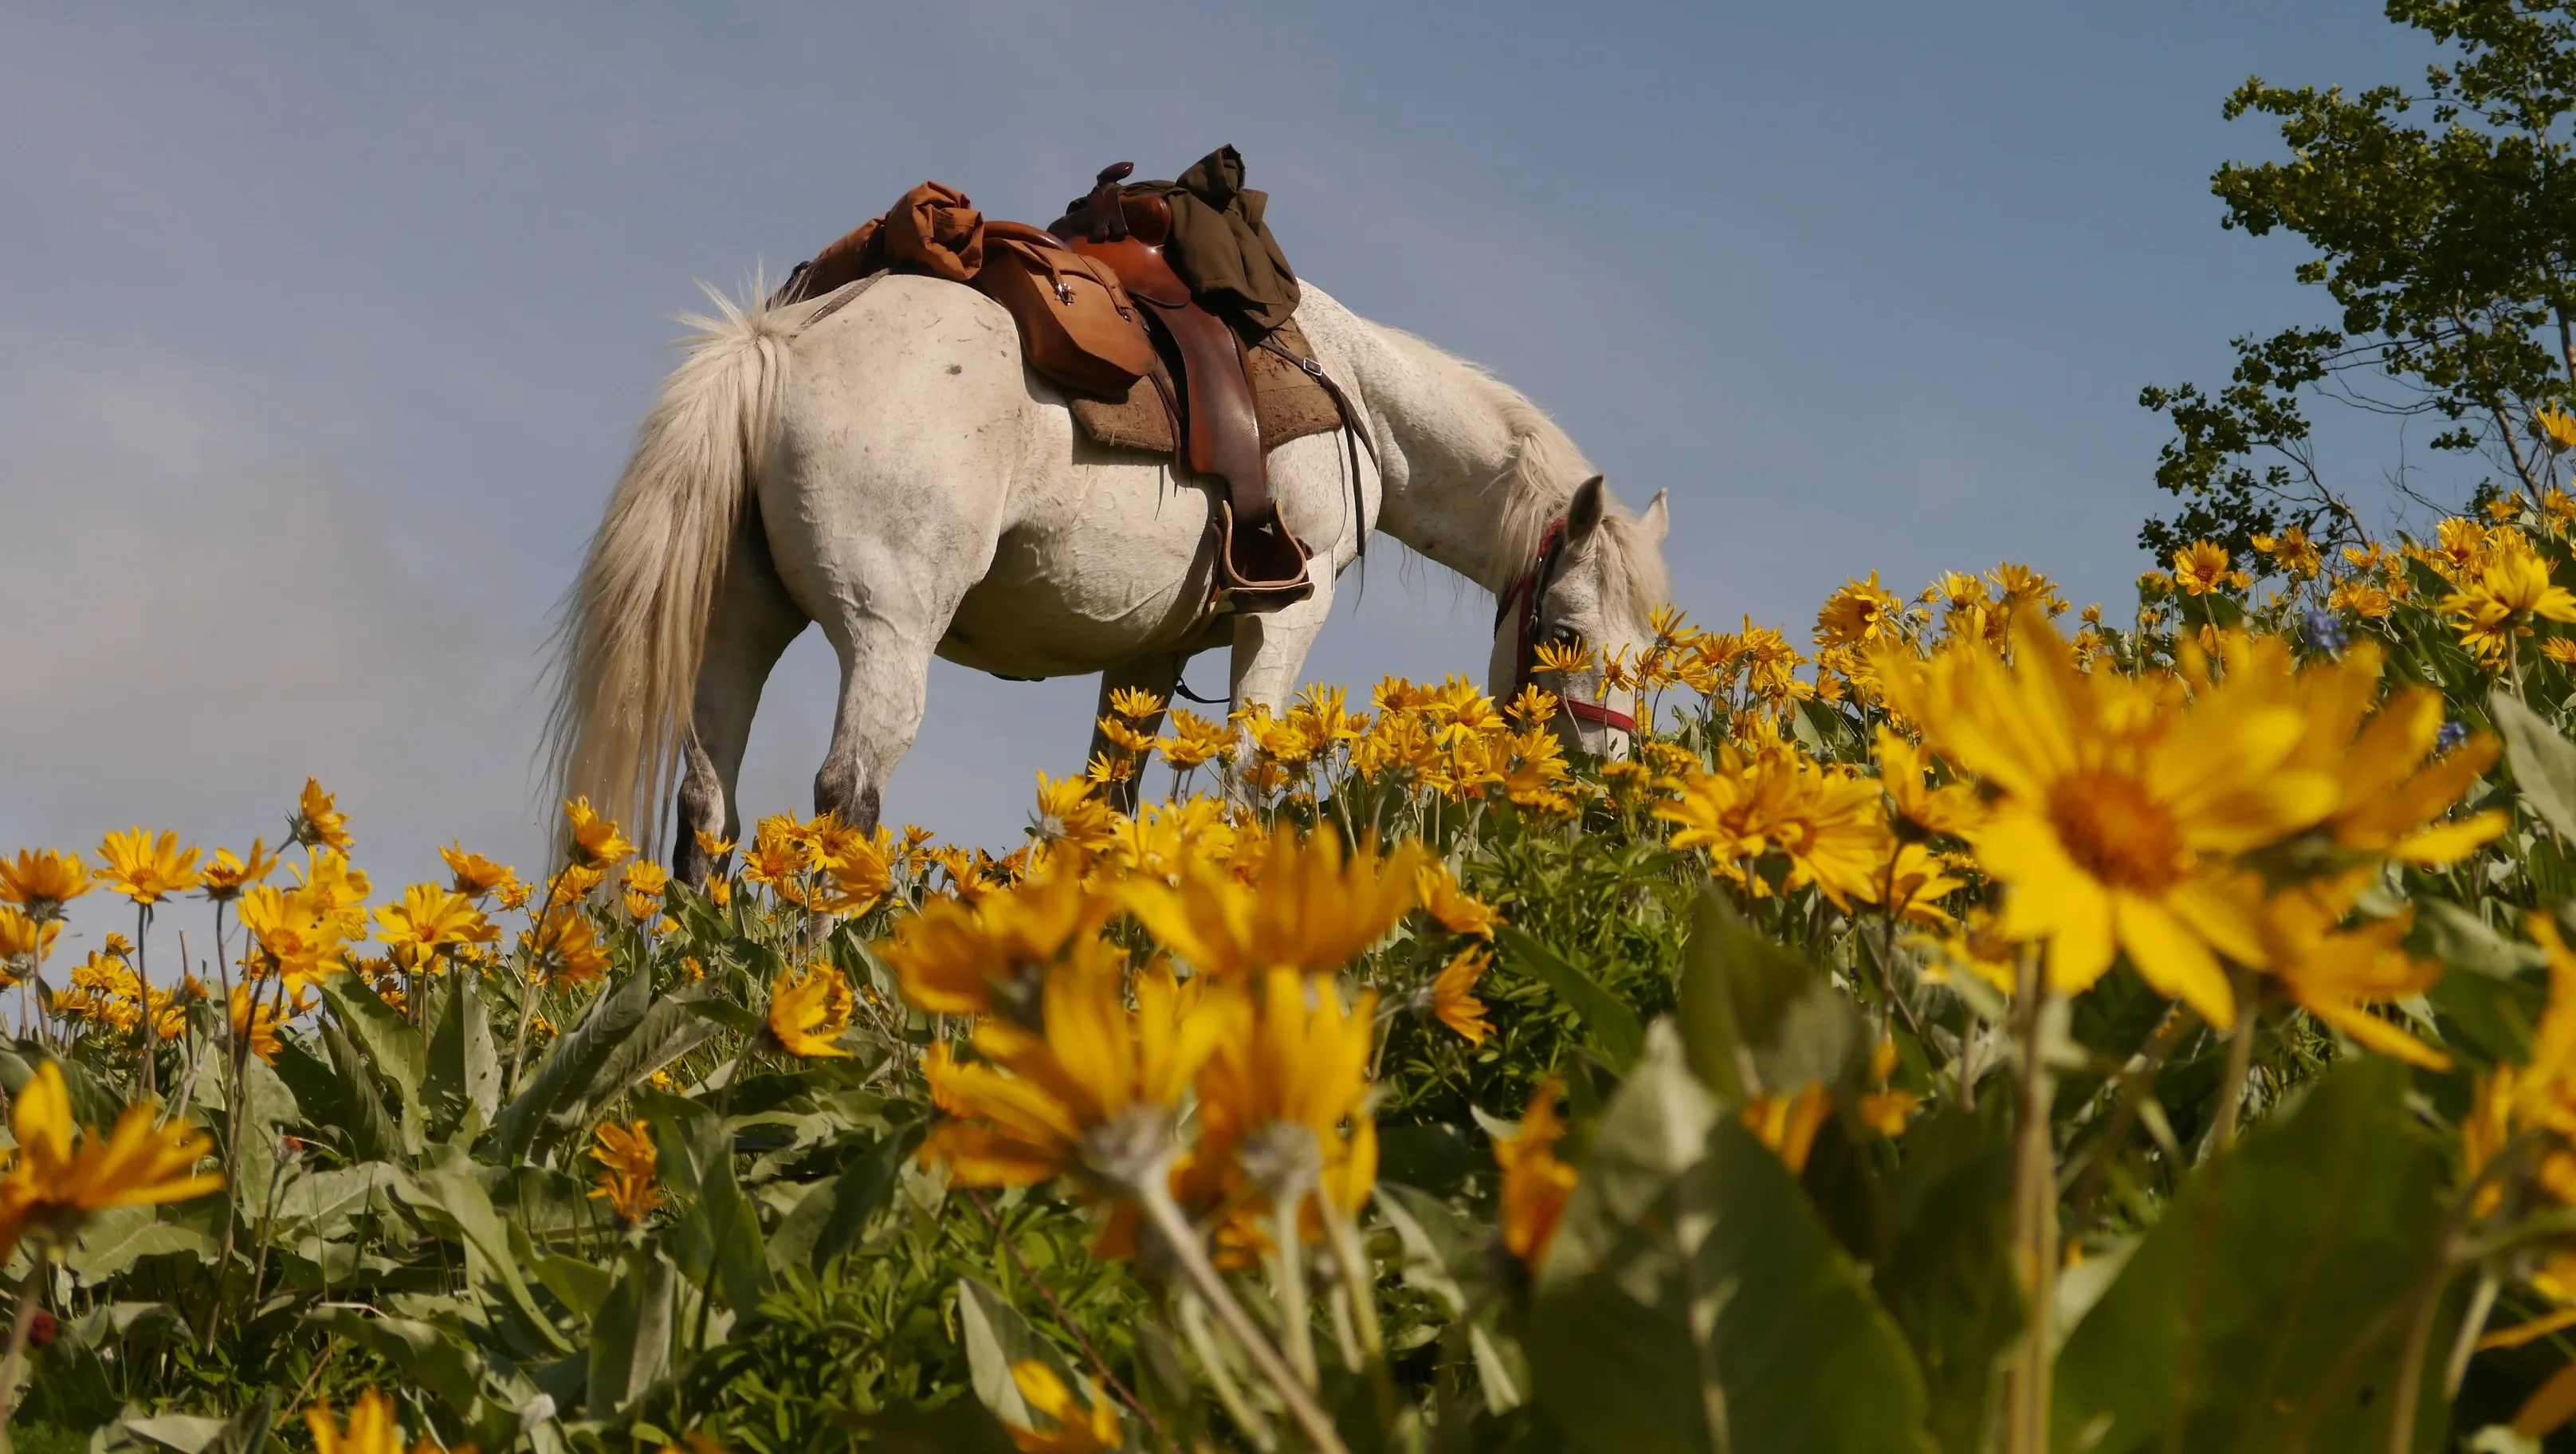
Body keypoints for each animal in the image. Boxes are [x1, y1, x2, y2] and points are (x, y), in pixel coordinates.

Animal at [546, 269, 1673, 882]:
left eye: (1644, 655)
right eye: (1564, 633)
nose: (1606, 788)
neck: (1353, 393)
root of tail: (781, 341)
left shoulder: (1148, 658)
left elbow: (1106, 809)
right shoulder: (1287, 617)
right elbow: (1247, 780)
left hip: (739, 630)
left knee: (708, 806)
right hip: (889, 635)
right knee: (845, 795)